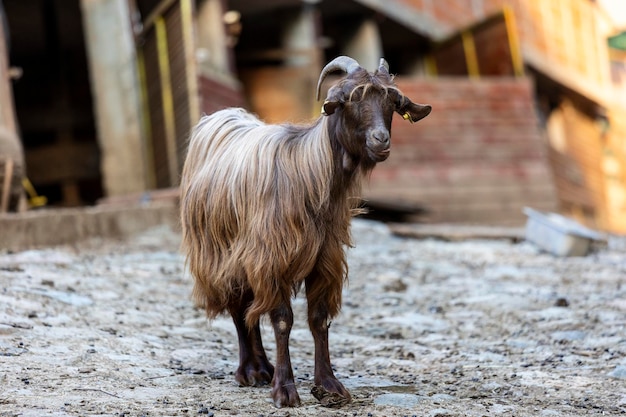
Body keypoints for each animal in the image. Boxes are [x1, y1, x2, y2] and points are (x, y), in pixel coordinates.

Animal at [176, 55, 428, 406]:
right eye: (349, 99)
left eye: (393, 102)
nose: (381, 140)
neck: (309, 173)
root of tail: (221, 116)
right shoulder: (271, 257)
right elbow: (282, 320)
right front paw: (285, 389)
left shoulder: (324, 259)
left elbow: (318, 320)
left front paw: (328, 385)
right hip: (219, 254)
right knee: (239, 308)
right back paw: (249, 370)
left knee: (250, 307)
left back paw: (262, 368)